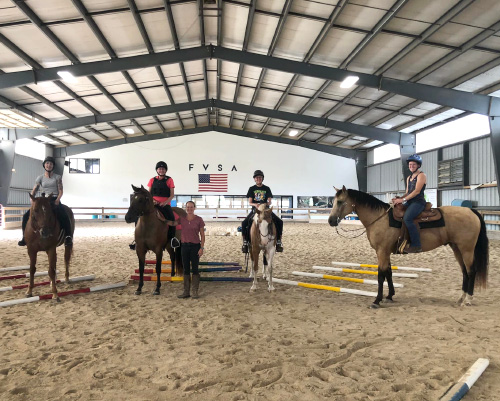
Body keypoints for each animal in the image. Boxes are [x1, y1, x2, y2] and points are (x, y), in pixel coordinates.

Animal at [328, 186, 488, 308]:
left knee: (471, 271)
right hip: (456, 248)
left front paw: (377, 300)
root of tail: (471, 211)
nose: (331, 221)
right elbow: (389, 273)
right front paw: (390, 296)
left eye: (340, 202)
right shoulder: (386, 252)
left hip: (467, 249)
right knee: (464, 272)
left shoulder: (382, 251)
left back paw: (468, 300)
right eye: (334, 201)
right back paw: (461, 298)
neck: (380, 218)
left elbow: (381, 275)